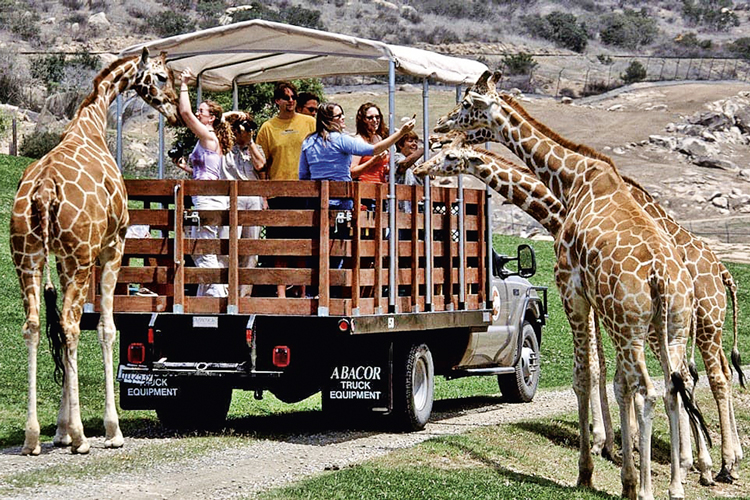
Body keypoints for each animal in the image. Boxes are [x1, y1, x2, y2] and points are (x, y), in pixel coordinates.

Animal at [11, 48, 184, 456]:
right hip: (78, 258)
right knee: (71, 326)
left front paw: (58, 431)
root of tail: (44, 190)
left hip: (27, 258)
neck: (91, 124)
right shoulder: (111, 247)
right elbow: (107, 328)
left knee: (36, 326)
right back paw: (81, 437)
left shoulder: (60, 258)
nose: (174, 112)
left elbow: (60, 328)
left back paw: (33, 438)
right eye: (162, 76)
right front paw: (108, 430)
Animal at [434, 87, 748, 484]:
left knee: (708, 377)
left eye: (465, 107)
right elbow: (612, 374)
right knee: (701, 374)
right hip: (692, 325)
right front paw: (616, 443)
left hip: (698, 321)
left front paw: (608, 445)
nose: (436, 132)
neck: (562, 203)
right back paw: (722, 459)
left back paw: (712, 463)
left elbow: (601, 371)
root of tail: (722, 271)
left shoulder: (582, 294)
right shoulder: (603, 306)